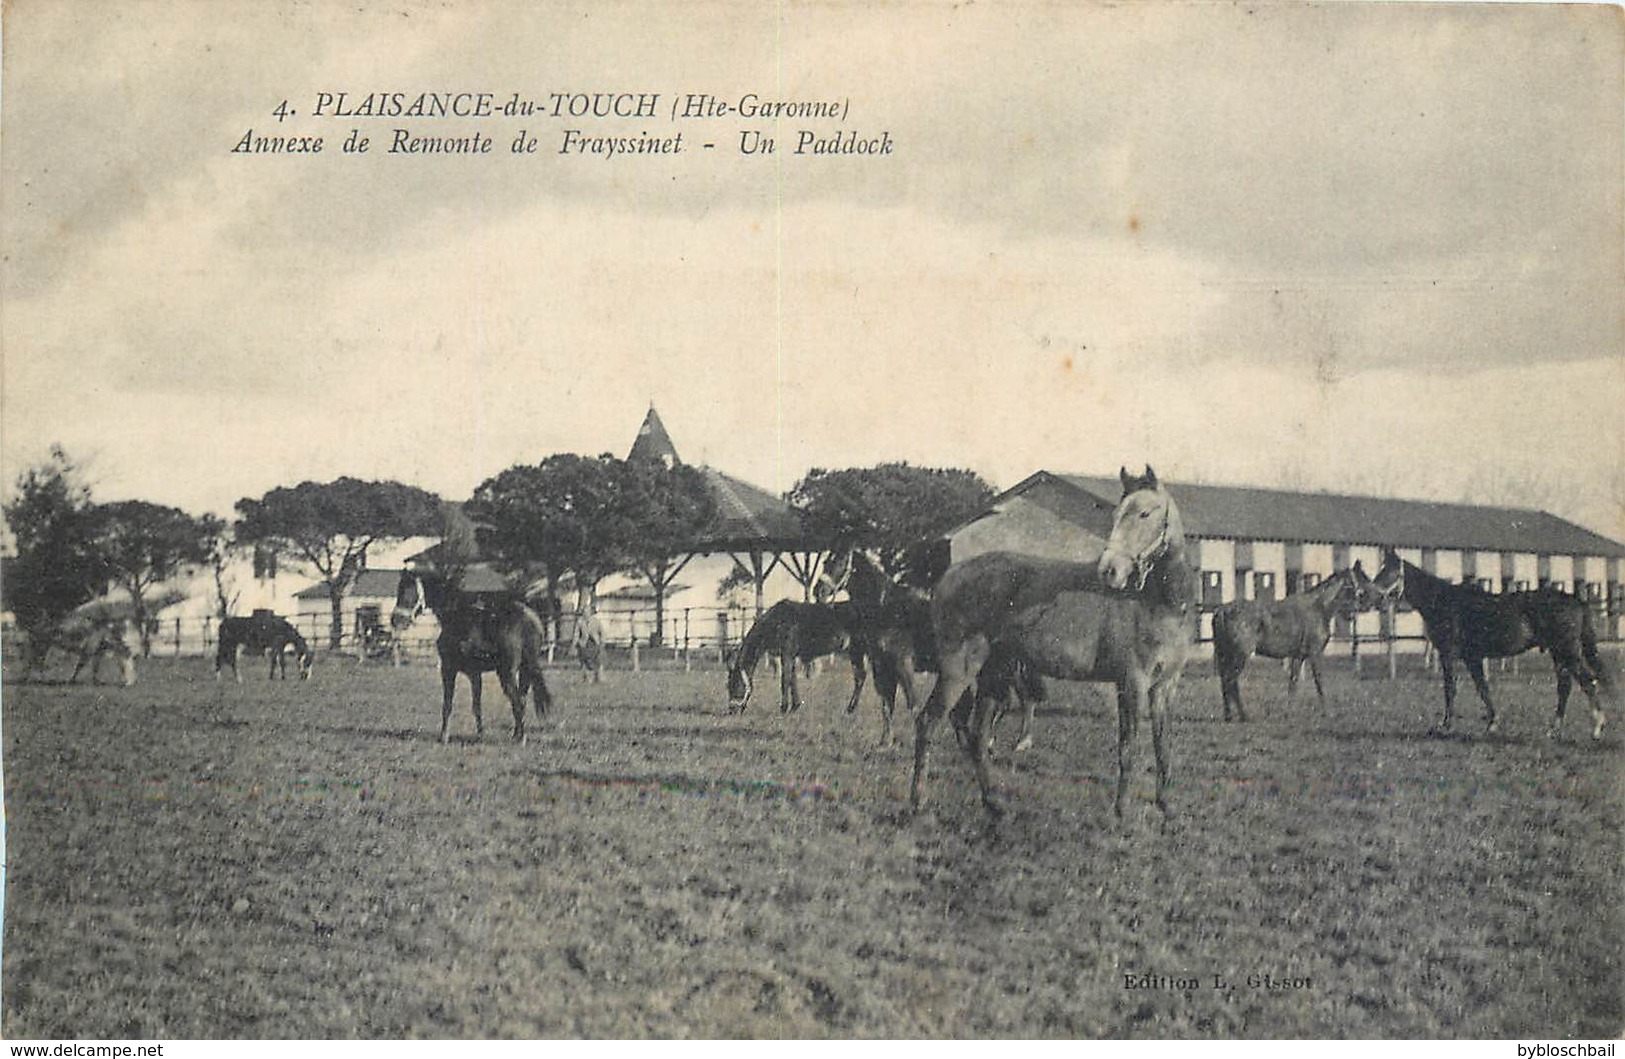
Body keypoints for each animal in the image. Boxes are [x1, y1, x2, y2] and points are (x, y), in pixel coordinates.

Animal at [390, 571, 555, 743]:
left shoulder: (448, 669)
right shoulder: (474, 674)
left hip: (506, 673)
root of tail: (528, 618)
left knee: (516, 701)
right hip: (525, 671)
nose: (395, 620)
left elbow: (447, 704)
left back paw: (521, 737)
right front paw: (480, 735)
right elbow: (476, 705)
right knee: (521, 699)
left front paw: (444, 736)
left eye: (410, 591)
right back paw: (516, 735)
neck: (456, 616)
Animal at [731, 600, 871, 714]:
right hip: (856, 651)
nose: (731, 710)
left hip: (857, 650)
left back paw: (850, 708)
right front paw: (794, 706)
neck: (777, 621)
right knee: (861, 676)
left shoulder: (787, 653)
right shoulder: (790, 655)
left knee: (860, 677)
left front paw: (783, 709)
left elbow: (785, 680)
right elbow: (792, 680)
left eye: (733, 685)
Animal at [910, 467, 1202, 821]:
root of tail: (949, 576)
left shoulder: (1164, 685)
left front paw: (1166, 805)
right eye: (1116, 515)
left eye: (1145, 513)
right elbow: (1128, 745)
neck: (1157, 602)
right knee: (928, 722)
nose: (1110, 571)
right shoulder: (1131, 682)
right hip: (959, 669)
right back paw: (919, 803)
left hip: (995, 672)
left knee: (978, 736)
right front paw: (1122, 811)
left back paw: (994, 804)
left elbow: (1163, 744)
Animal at [1215, 565, 1378, 724]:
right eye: (1363, 578)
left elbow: (1293, 683)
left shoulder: (1299, 656)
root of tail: (1222, 610)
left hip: (1227, 655)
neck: (1319, 608)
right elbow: (1319, 681)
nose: (1380, 598)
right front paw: (1327, 712)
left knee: (1225, 681)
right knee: (1231, 681)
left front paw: (1288, 713)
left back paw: (1229, 716)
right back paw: (1243, 716)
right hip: (1239, 656)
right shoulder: (1315, 653)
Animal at [1371, 548, 1612, 740]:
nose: (1370, 597)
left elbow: (1450, 689)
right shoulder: (1473, 657)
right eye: (1380, 570)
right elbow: (1483, 687)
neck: (1443, 601)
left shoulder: (1449, 655)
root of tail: (1575, 600)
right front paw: (1492, 723)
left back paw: (1596, 728)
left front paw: (1445, 726)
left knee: (1587, 682)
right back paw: (1555, 729)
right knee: (1566, 687)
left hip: (1567, 651)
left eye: (1390, 572)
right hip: (1559, 653)